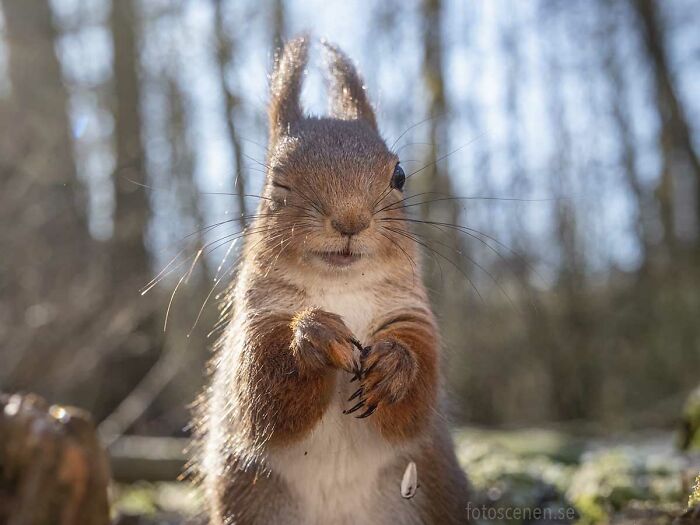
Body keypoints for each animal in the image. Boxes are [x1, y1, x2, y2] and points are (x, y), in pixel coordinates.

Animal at [195, 36, 470, 525]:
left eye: (400, 175)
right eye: (276, 180)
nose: (349, 221)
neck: (340, 288)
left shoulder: (414, 317)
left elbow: (417, 397)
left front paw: (394, 365)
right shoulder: (256, 322)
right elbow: (260, 394)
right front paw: (314, 336)